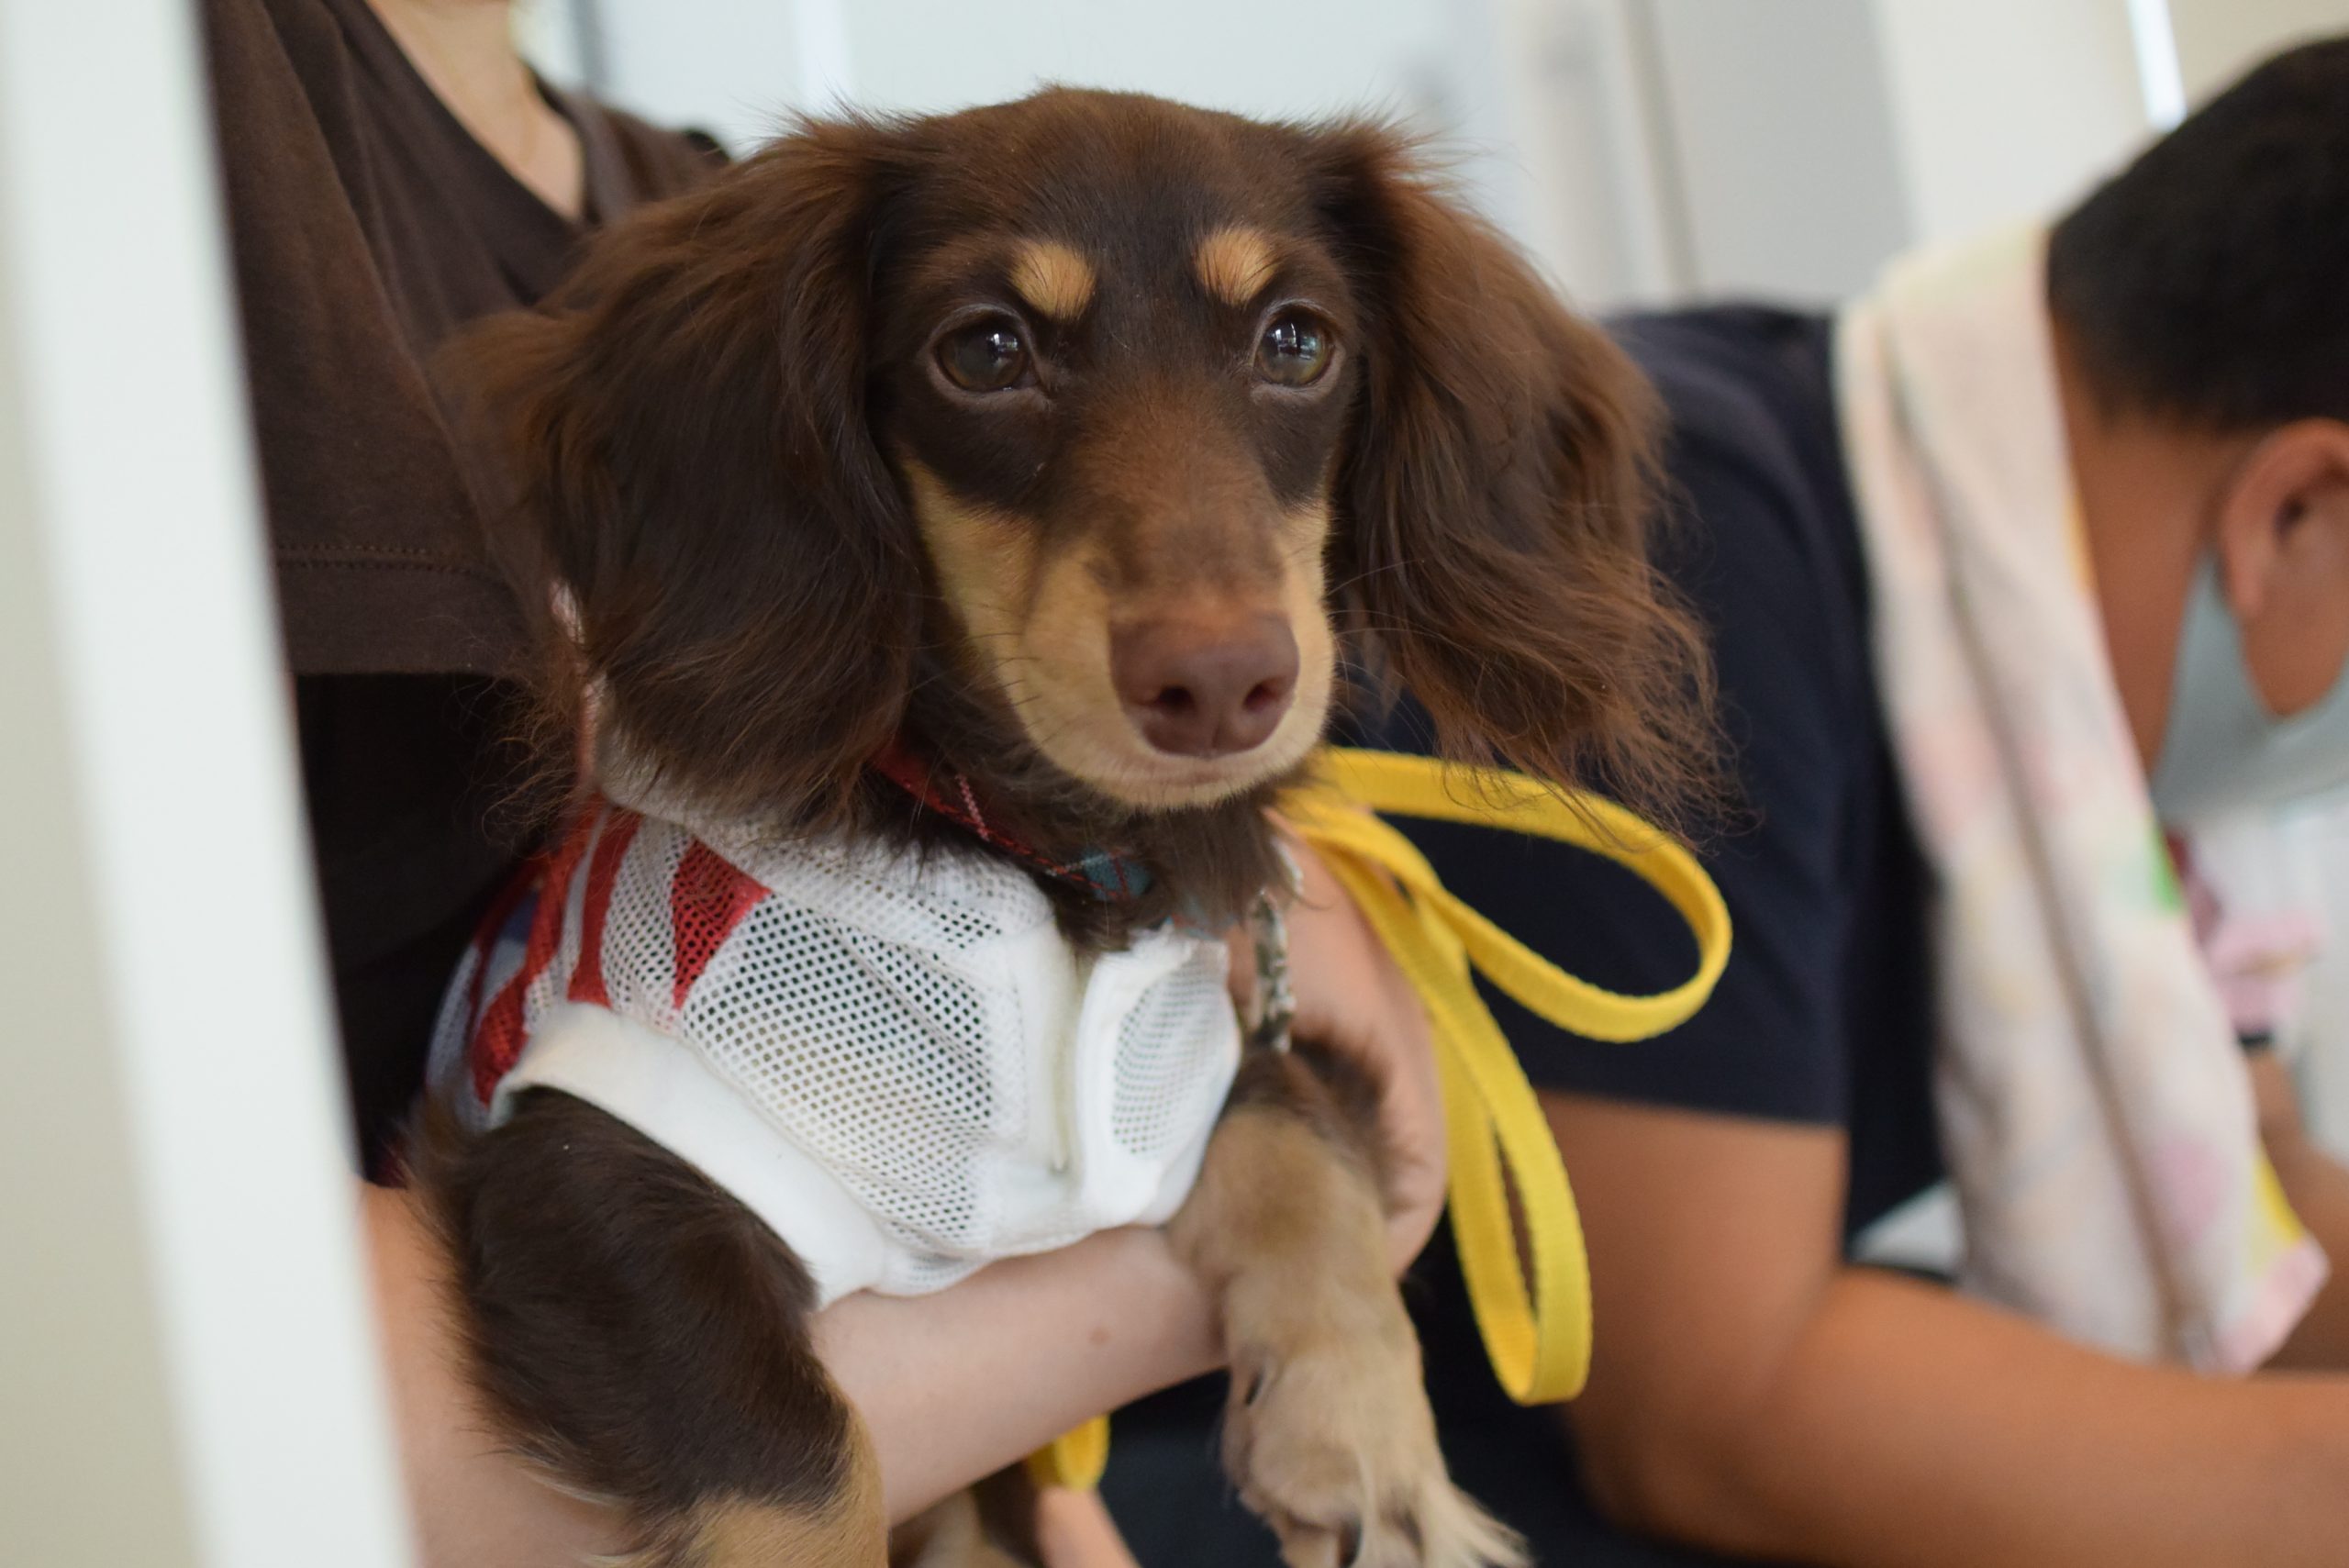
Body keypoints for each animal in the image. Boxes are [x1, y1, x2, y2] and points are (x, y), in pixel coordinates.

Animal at [418, 88, 1710, 1568]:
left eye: (1296, 341)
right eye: (985, 349)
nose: (1222, 684)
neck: (1038, 857)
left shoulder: (1212, 1062)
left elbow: (1296, 1133)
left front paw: (1368, 1444)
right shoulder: (591, 1173)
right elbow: (794, 1468)